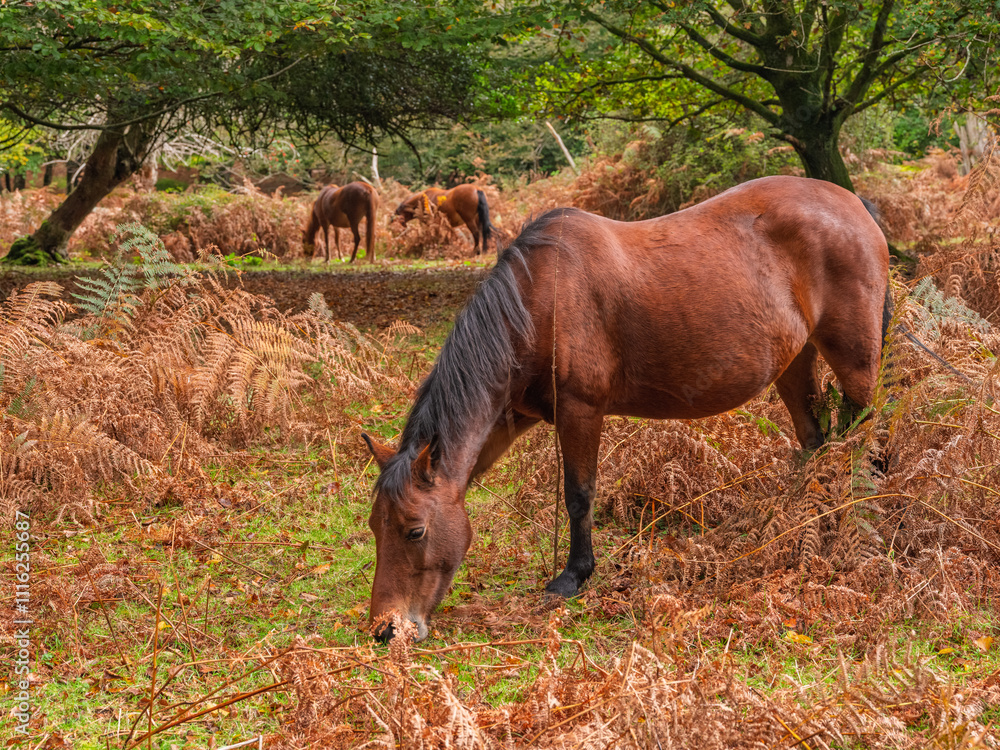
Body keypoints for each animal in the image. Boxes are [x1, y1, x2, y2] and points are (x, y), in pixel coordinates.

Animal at [363, 175, 891, 642]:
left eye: (414, 531)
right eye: (374, 527)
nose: (386, 630)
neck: (539, 300)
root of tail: (855, 205)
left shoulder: (580, 410)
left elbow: (579, 495)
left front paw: (573, 576)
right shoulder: (510, 419)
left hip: (856, 364)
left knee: (869, 440)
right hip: (795, 362)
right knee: (816, 443)